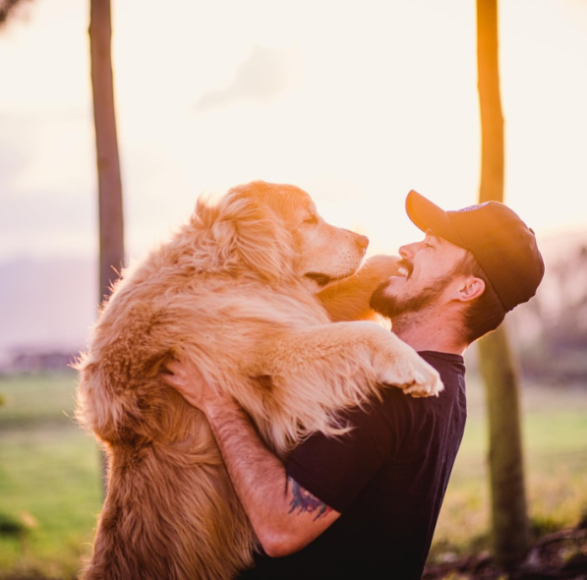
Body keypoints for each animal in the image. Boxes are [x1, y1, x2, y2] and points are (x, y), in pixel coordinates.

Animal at [74, 181, 440, 580]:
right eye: (309, 219)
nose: (364, 239)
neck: (227, 269)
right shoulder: (268, 358)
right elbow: (355, 334)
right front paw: (415, 366)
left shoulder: (287, 306)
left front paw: (397, 263)